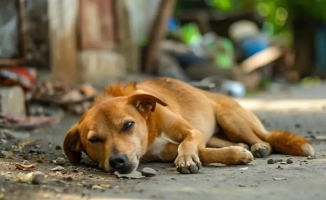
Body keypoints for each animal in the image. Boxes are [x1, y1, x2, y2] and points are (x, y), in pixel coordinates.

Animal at [62, 77, 314, 174]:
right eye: (94, 140)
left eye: (128, 125)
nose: (118, 161)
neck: (151, 126)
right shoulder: (163, 152)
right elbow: (204, 152)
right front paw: (235, 154)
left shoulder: (192, 132)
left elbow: (188, 144)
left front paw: (185, 159)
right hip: (217, 132)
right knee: (226, 142)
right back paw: (243, 146)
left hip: (230, 117)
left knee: (264, 138)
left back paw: (259, 146)